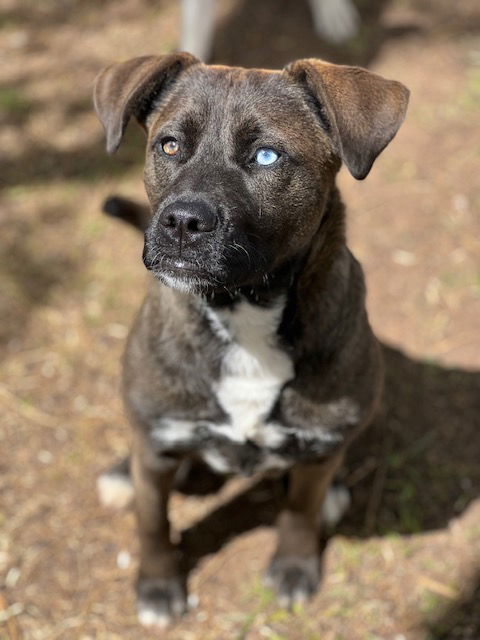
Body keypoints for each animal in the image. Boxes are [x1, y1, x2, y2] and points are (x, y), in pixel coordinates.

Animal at [94, 52, 408, 628]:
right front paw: (158, 585)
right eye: (168, 145)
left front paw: (294, 567)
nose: (181, 222)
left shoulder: (316, 449)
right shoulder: (158, 446)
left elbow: (301, 510)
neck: (242, 312)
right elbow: (152, 523)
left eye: (266, 156)